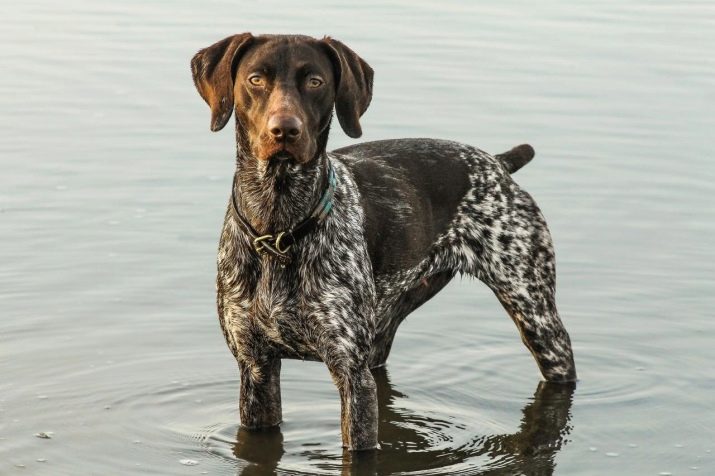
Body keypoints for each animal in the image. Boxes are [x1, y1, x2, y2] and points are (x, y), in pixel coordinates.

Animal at [190, 33, 576, 450]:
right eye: (256, 79)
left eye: (315, 82)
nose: (285, 130)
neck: (279, 227)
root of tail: (496, 162)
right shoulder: (256, 369)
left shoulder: (351, 375)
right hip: (384, 329)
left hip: (538, 319)